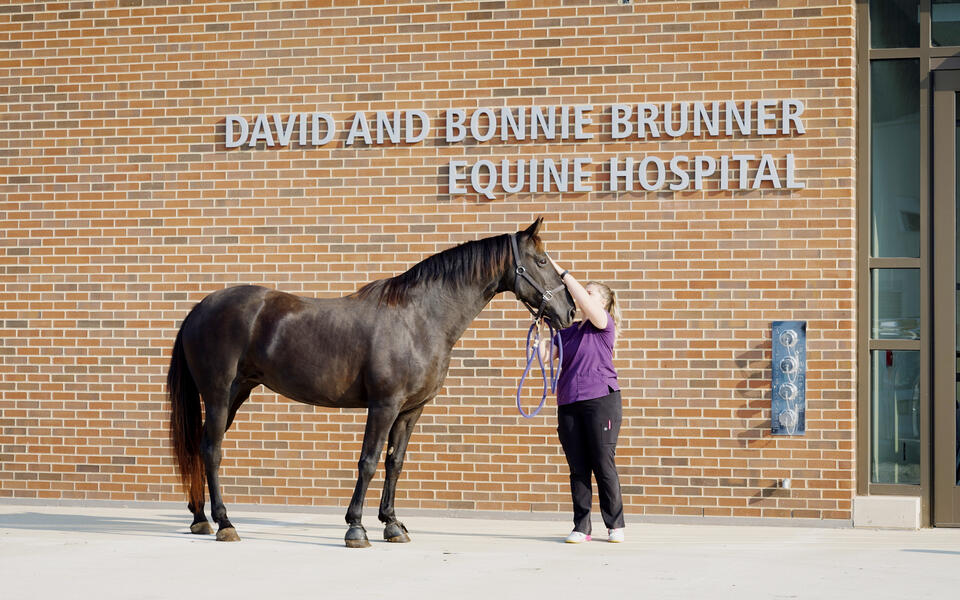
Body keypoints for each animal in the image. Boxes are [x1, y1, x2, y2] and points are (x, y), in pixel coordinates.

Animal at [166, 218, 572, 548]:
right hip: (219, 394)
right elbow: (369, 461)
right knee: (212, 451)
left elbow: (395, 462)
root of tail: (199, 309)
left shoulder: (410, 410)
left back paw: (200, 518)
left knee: (201, 446)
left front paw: (392, 524)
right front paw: (356, 528)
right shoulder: (384, 405)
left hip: (237, 393)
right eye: (541, 261)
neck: (419, 318)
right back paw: (225, 523)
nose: (568, 311)